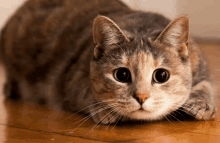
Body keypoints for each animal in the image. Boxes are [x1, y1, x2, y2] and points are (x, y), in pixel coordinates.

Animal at [0, 0, 217, 124]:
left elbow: (207, 84)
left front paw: (202, 104)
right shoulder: (71, 78)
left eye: (161, 75)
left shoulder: (200, 63)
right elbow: (87, 92)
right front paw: (104, 110)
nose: (141, 97)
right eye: (121, 74)